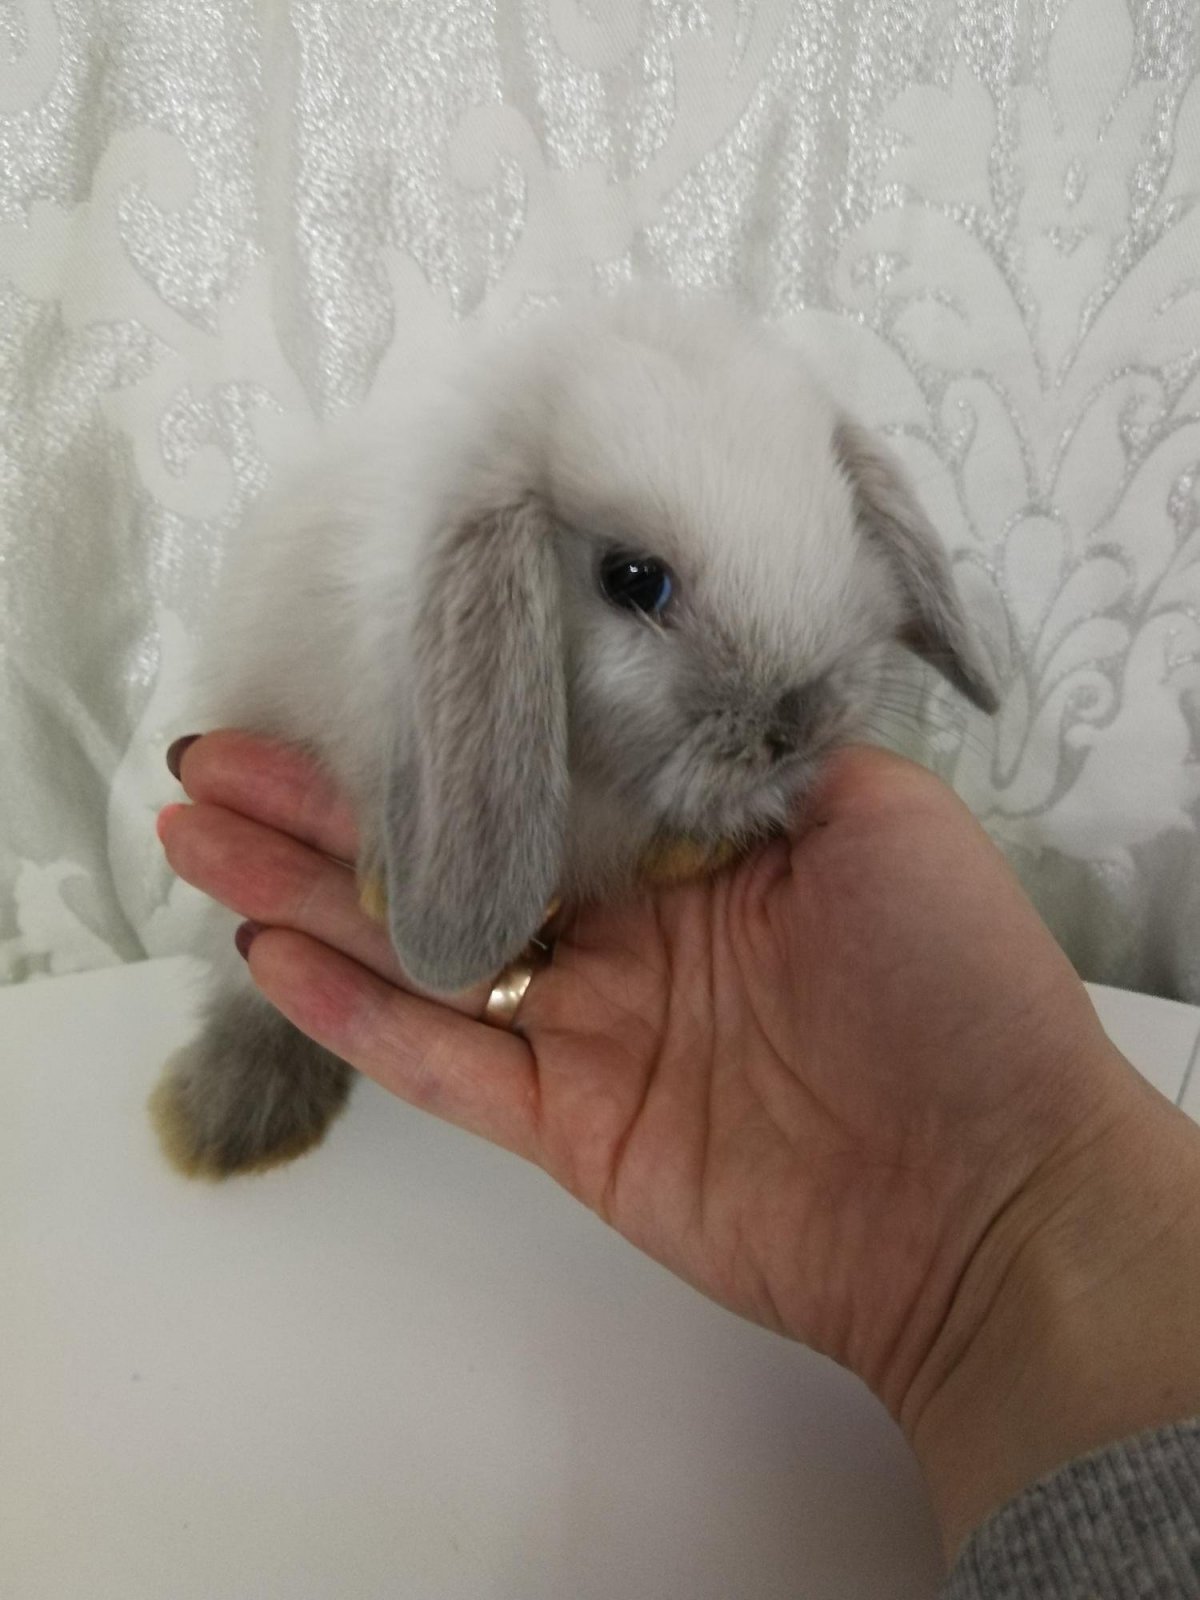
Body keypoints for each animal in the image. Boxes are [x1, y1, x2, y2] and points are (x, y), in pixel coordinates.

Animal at [150, 288, 999, 1179]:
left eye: (840, 524)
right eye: (633, 580)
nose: (799, 723)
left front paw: (691, 852)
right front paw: (382, 890)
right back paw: (226, 1121)